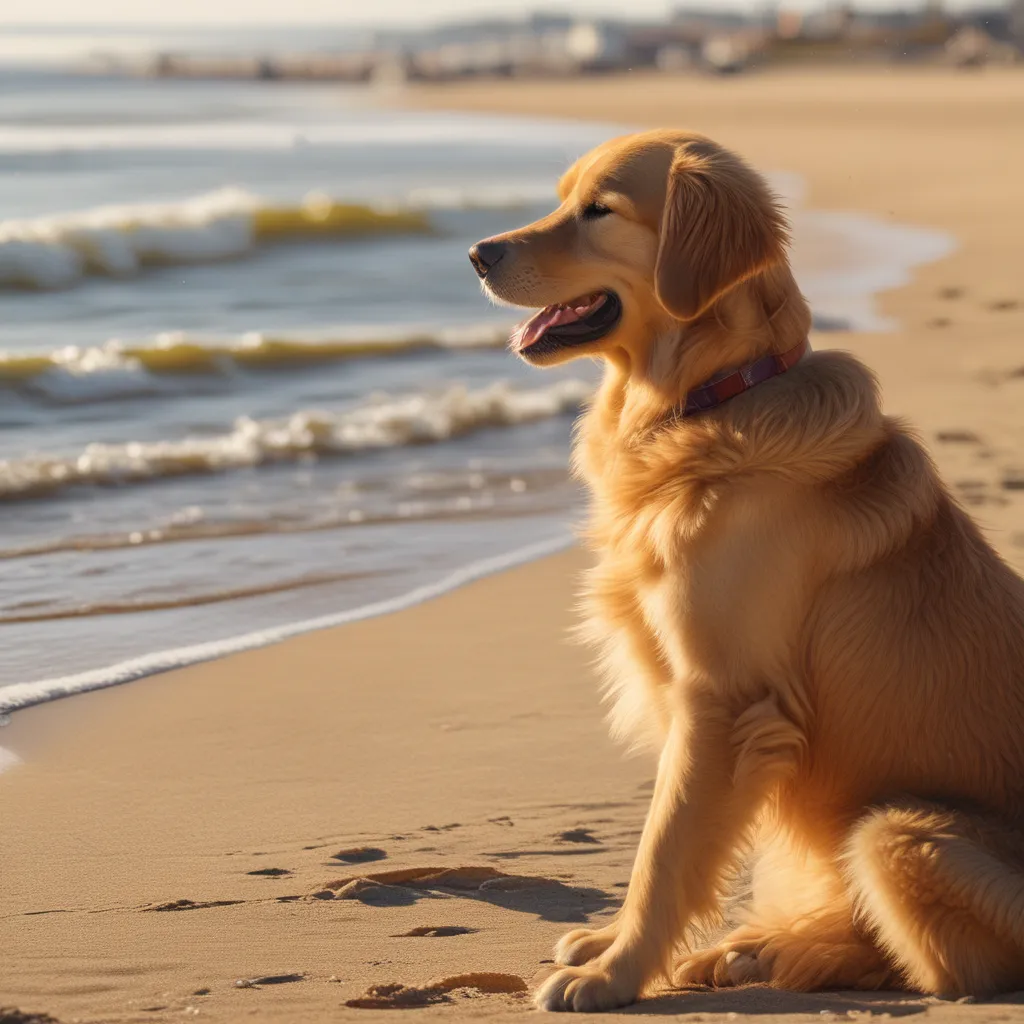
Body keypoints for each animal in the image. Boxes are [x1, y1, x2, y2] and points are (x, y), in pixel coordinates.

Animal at [468, 132, 1024, 1011]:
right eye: (561, 199)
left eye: (600, 210)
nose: (478, 254)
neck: (712, 400)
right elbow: (662, 846)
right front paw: (608, 946)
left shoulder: (723, 700)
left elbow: (662, 852)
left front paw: (614, 974)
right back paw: (755, 949)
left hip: (896, 828)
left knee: (951, 971)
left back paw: (785, 951)